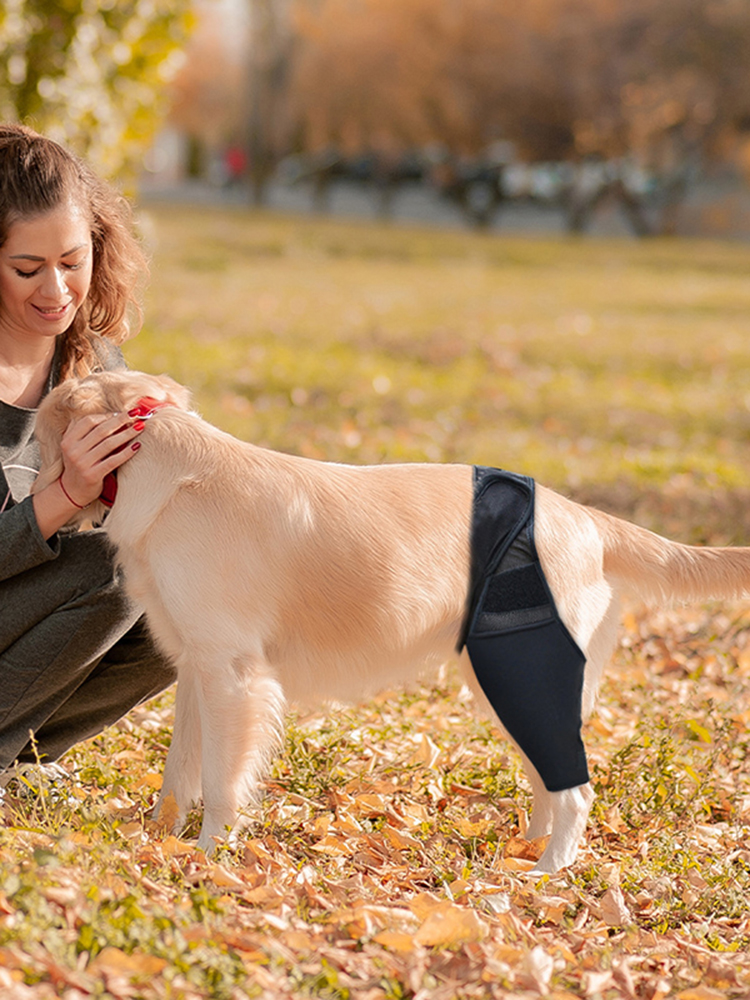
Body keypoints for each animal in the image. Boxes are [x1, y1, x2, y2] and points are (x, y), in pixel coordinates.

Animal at [33, 370, 750, 873]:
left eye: (40, 437)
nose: (37, 497)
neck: (166, 466)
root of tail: (586, 518)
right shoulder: (195, 668)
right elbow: (178, 771)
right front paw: (156, 840)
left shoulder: (232, 675)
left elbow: (219, 782)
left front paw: (209, 856)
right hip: (508, 683)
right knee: (550, 781)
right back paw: (524, 849)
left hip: (521, 672)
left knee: (573, 790)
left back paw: (545, 875)